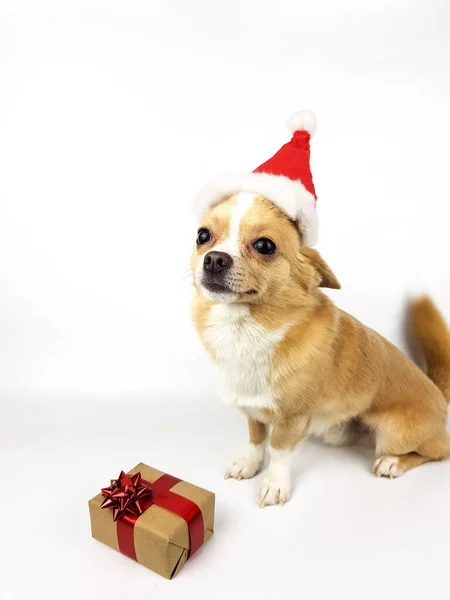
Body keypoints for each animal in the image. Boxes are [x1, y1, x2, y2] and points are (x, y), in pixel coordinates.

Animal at [190, 191, 450, 506]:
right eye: (203, 236)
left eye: (265, 246)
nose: (214, 259)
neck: (245, 329)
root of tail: (437, 391)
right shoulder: (252, 408)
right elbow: (256, 438)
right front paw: (249, 464)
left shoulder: (292, 419)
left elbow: (278, 450)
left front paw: (275, 485)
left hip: (394, 434)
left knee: (440, 450)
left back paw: (393, 463)